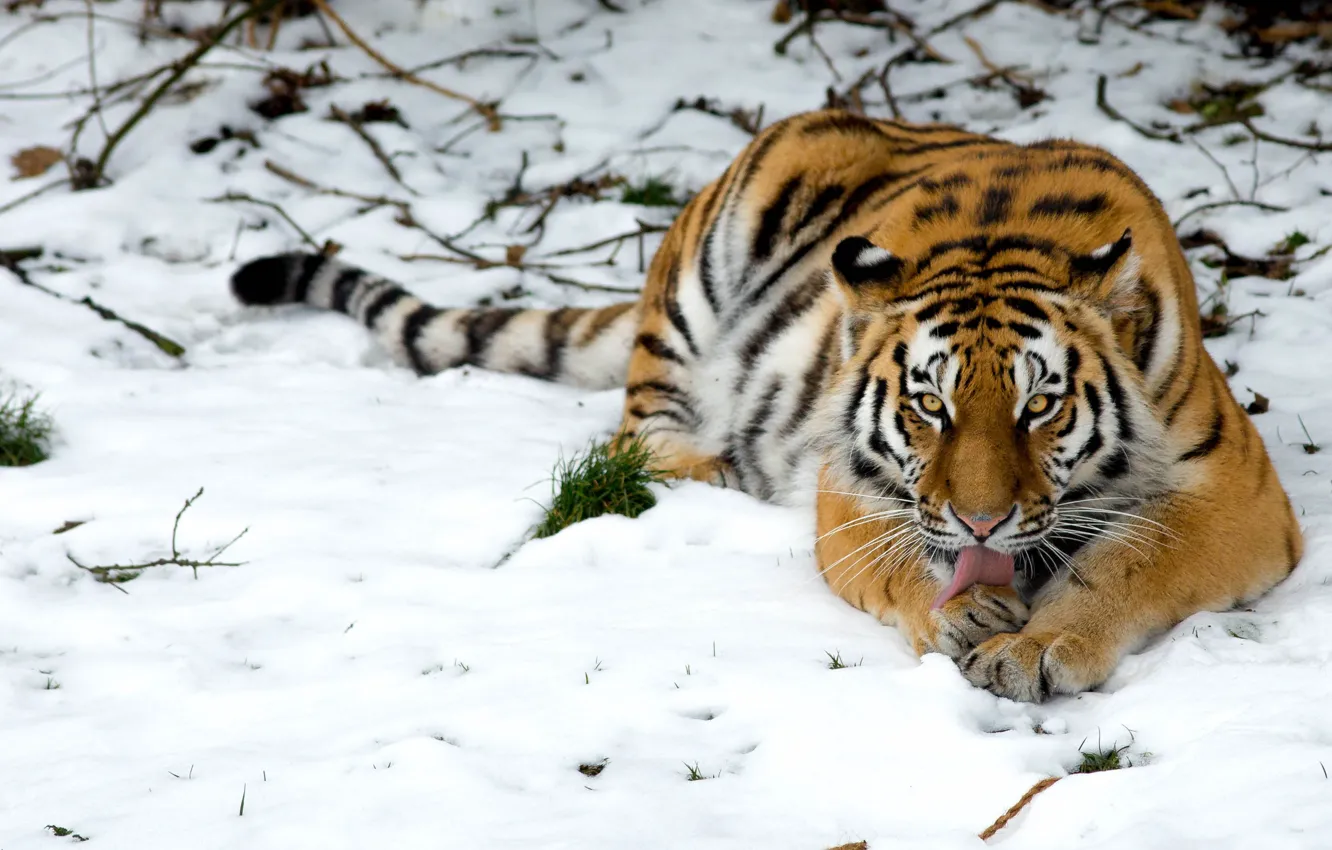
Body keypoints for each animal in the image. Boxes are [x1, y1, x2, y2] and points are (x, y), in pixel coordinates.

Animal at [231, 109, 1302, 702]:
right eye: (930, 403)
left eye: (1039, 408)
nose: (981, 520)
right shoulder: (849, 488)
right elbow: (899, 565)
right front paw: (962, 615)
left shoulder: (1237, 498)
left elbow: (1125, 561)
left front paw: (1035, 649)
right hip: (710, 265)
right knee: (635, 442)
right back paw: (718, 469)